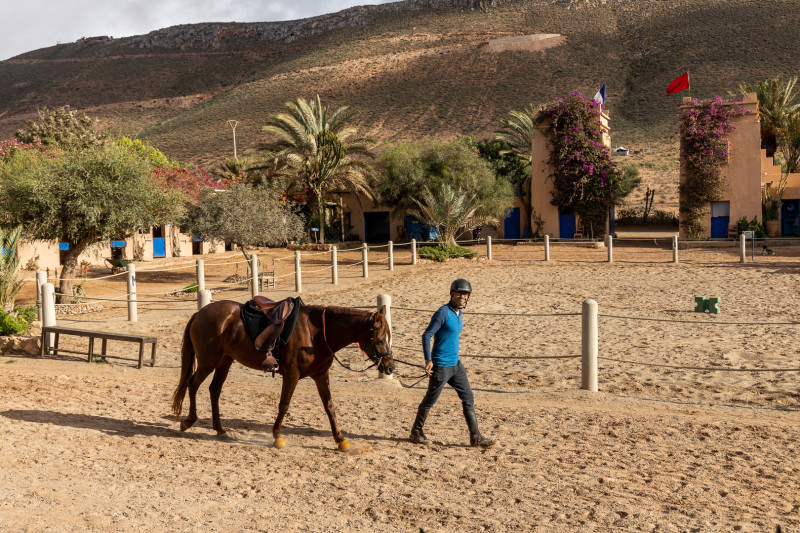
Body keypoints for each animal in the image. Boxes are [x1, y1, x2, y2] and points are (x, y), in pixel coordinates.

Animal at [172, 300, 394, 448]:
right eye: (380, 339)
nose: (390, 367)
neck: (315, 334)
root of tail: (200, 313)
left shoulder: (321, 375)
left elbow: (330, 406)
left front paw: (340, 439)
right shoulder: (291, 375)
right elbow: (284, 405)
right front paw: (277, 435)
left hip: (224, 362)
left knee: (214, 390)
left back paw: (220, 429)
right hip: (208, 362)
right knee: (192, 384)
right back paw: (189, 421)